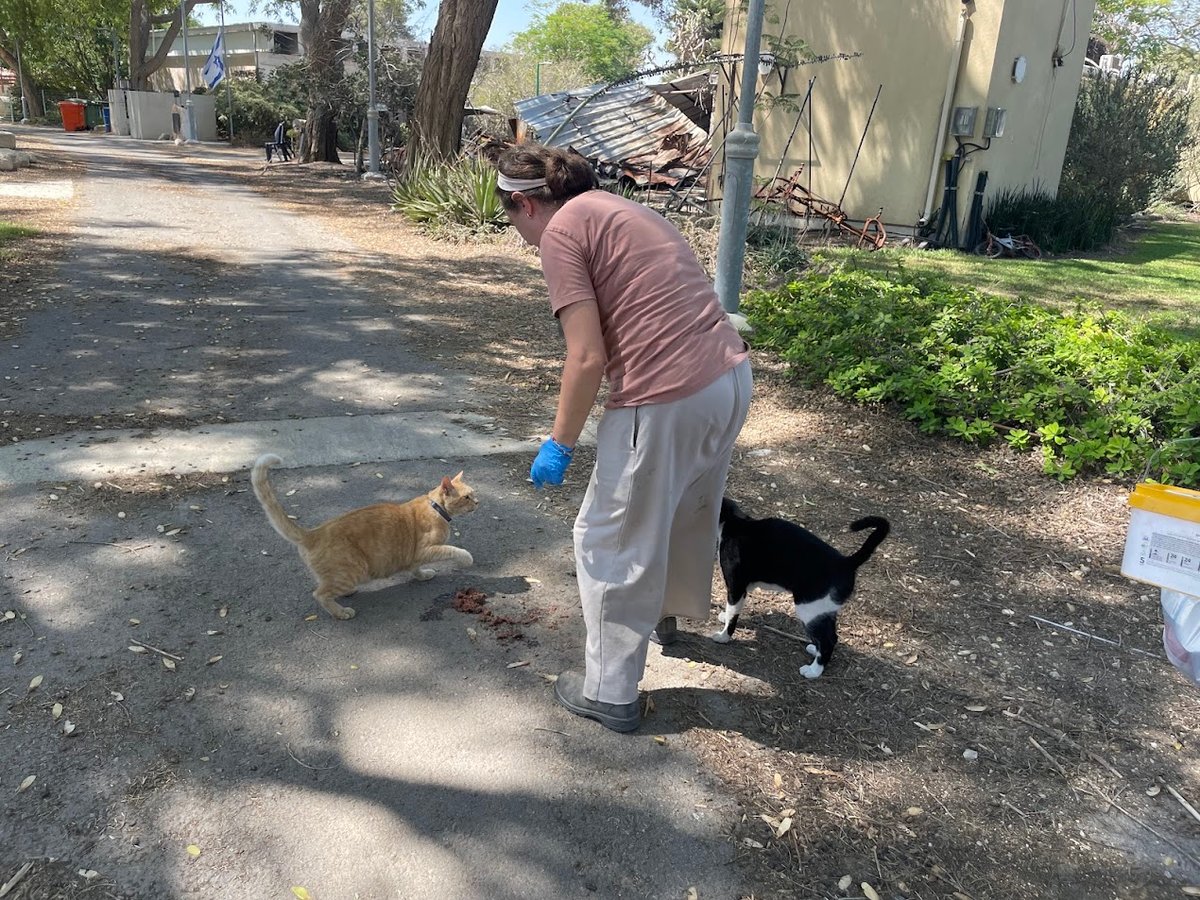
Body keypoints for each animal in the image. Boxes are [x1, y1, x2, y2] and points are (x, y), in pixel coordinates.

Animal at [250, 453, 480, 624]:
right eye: (467, 497)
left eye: (473, 494)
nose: (478, 502)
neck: (435, 507)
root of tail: (313, 533)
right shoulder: (426, 549)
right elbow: (454, 550)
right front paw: (466, 559)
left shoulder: (415, 557)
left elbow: (416, 568)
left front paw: (423, 575)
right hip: (354, 570)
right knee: (319, 594)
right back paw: (341, 612)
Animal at [710, 496, 892, 681]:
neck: (733, 521)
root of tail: (846, 563)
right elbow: (731, 611)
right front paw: (724, 617)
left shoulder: (736, 587)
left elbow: (733, 615)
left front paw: (724, 636)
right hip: (824, 610)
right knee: (831, 636)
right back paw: (815, 651)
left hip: (808, 609)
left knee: (829, 641)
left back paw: (814, 671)